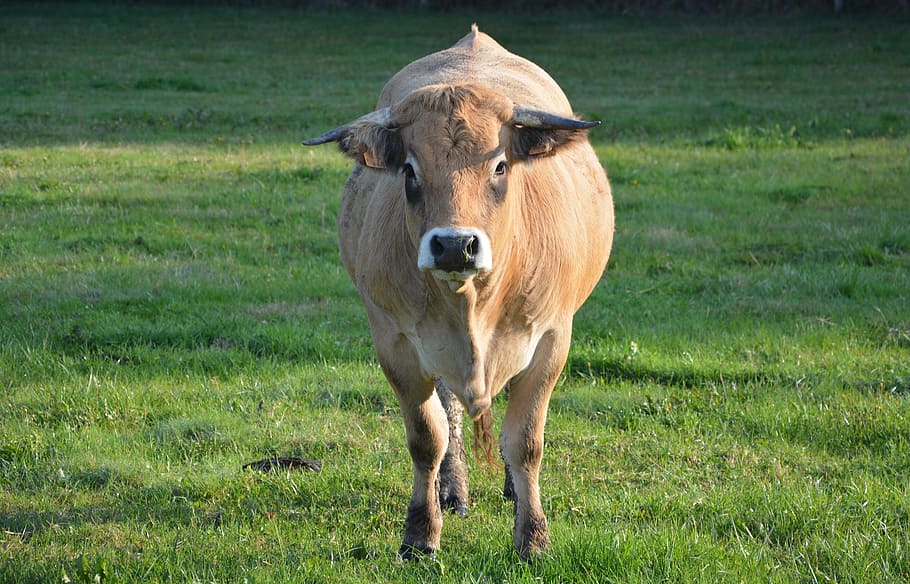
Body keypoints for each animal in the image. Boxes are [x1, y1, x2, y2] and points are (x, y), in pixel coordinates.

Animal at [303, 25, 614, 560]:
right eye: (409, 170)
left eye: (500, 166)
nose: (453, 244)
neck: (471, 307)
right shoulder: (395, 343)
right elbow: (427, 437)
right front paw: (419, 533)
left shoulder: (552, 338)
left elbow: (525, 441)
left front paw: (532, 536)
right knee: (449, 415)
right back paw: (452, 488)